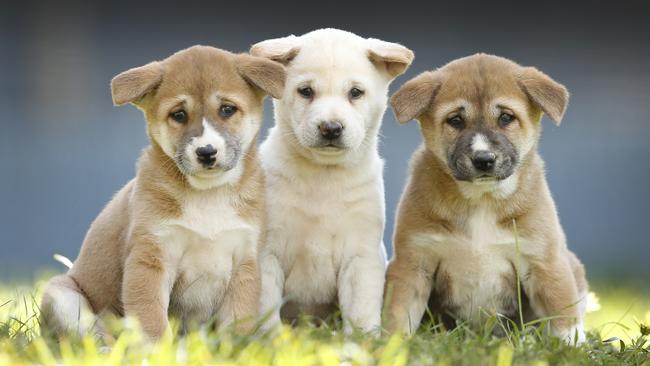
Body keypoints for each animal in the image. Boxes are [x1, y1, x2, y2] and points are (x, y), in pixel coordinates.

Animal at [40, 45, 284, 340]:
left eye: (227, 109)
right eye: (178, 115)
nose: (206, 152)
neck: (208, 195)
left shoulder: (245, 261)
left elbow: (236, 324)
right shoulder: (151, 257)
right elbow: (151, 318)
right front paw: (157, 348)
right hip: (61, 295)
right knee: (93, 333)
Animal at [251, 27, 412, 334]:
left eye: (355, 92)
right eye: (306, 91)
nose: (331, 128)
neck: (323, 177)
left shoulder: (361, 257)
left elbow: (361, 311)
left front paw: (364, 340)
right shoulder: (266, 254)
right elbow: (265, 308)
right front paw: (270, 340)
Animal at [384, 53, 588, 344]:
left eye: (505, 117)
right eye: (455, 120)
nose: (483, 159)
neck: (481, 200)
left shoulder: (544, 260)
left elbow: (562, 315)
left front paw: (570, 346)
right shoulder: (413, 262)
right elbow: (398, 314)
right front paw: (388, 345)